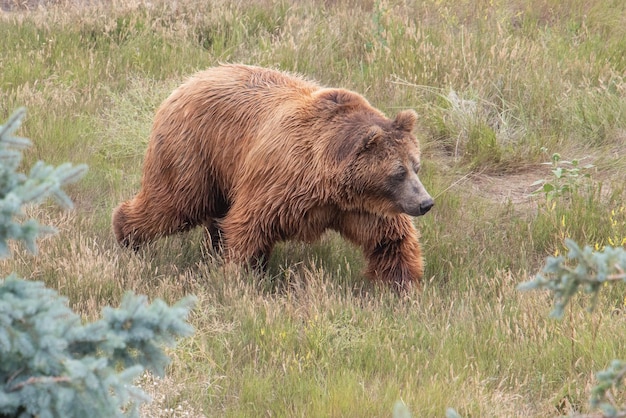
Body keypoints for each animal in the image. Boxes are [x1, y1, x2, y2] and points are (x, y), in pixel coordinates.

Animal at [112, 63, 432, 290]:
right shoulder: (282, 183)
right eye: (398, 172)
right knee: (173, 203)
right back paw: (127, 236)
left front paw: (400, 287)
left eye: (416, 166)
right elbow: (250, 226)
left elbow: (390, 239)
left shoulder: (363, 207)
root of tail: (189, 80)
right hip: (194, 153)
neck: (333, 184)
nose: (425, 203)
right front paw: (240, 276)